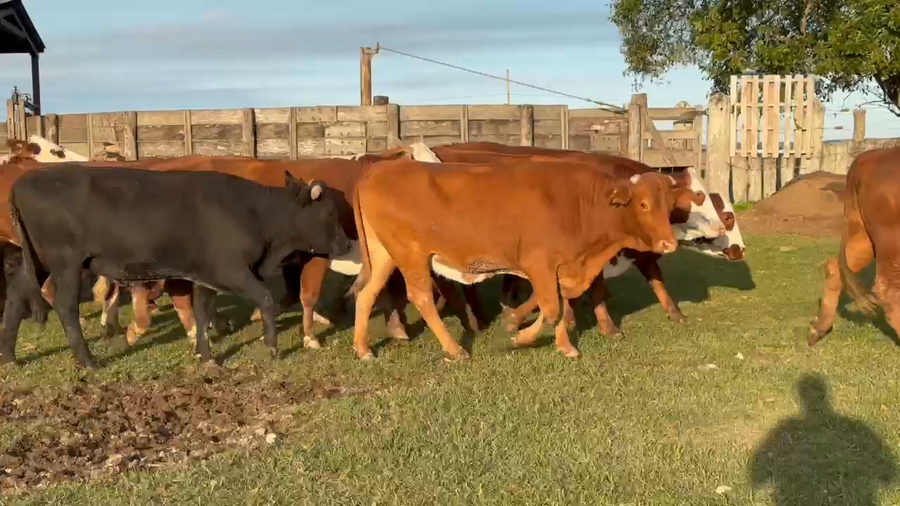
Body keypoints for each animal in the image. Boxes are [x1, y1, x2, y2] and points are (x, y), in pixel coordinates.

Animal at [0, 165, 351, 369]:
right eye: (329, 214)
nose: (347, 245)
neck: (254, 212)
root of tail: (22, 182)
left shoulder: (208, 277)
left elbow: (202, 312)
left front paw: (207, 357)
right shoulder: (232, 272)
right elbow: (265, 300)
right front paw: (271, 347)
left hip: (35, 262)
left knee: (16, 295)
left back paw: (9, 356)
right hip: (67, 264)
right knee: (65, 305)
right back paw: (88, 361)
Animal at [349, 157, 699, 361]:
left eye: (669, 205)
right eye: (643, 204)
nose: (668, 244)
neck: (579, 204)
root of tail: (377, 170)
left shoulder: (563, 267)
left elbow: (563, 306)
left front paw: (565, 346)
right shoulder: (539, 264)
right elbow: (552, 309)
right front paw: (519, 337)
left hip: (384, 254)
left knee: (367, 294)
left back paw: (363, 348)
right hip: (411, 255)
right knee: (420, 297)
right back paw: (455, 349)